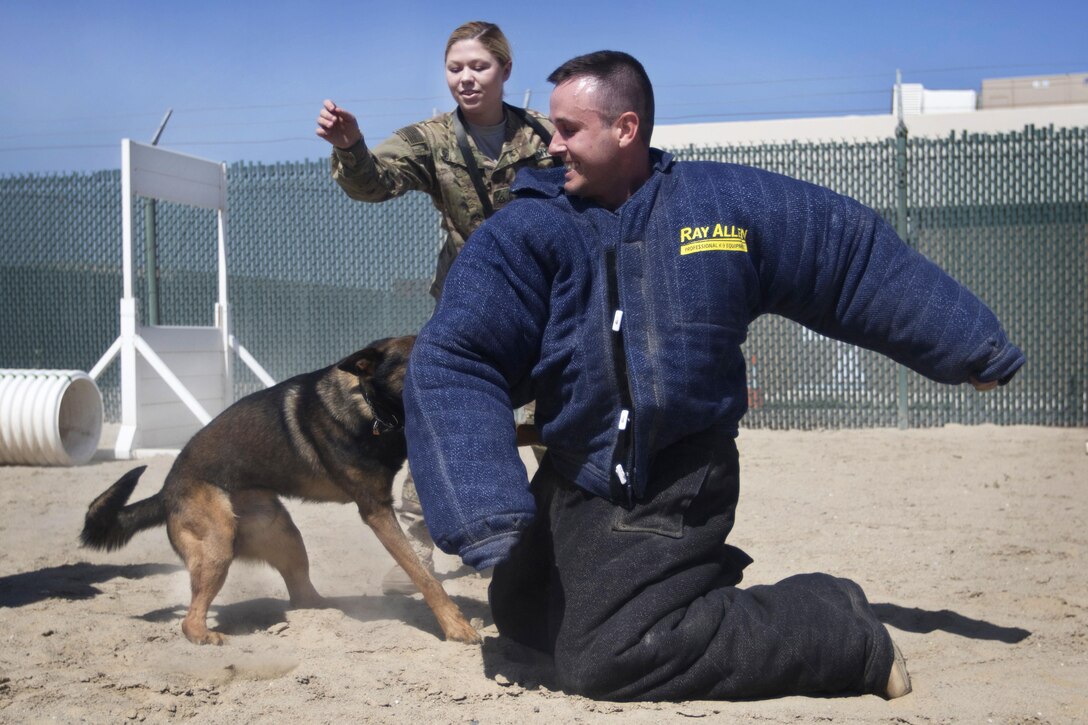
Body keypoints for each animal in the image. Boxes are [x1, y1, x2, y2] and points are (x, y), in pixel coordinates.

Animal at [80, 335, 480, 644]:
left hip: (285, 536)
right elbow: (423, 575)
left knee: (302, 596)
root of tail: (165, 491)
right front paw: (455, 625)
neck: (370, 406)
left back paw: (331, 608)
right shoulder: (377, 510)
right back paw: (205, 635)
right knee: (190, 620)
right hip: (217, 546)